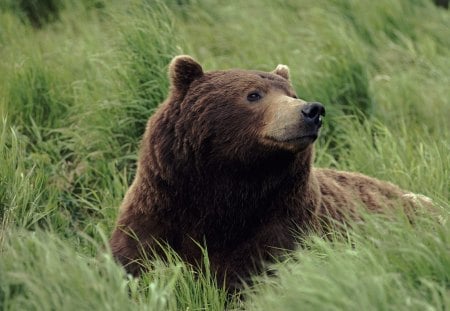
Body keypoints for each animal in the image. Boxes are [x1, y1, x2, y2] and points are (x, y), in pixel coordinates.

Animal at [110, 54, 428, 292]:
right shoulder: (161, 208)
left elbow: (259, 271)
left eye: (291, 94)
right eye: (253, 94)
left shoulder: (281, 221)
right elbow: (137, 260)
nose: (312, 110)